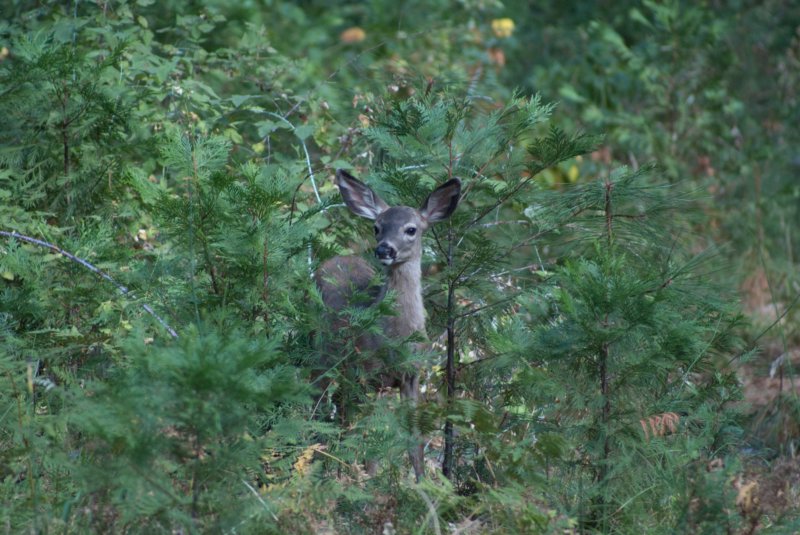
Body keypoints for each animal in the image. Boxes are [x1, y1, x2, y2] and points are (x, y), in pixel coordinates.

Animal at [314, 169, 462, 482]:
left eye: (411, 229)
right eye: (377, 227)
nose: (384, 249)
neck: (396, 335)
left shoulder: (411, 375)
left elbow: (414, 440)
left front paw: (422, 484)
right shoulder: (368, 373)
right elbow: (370, 435)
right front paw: (368, 480)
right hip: (323, 352)